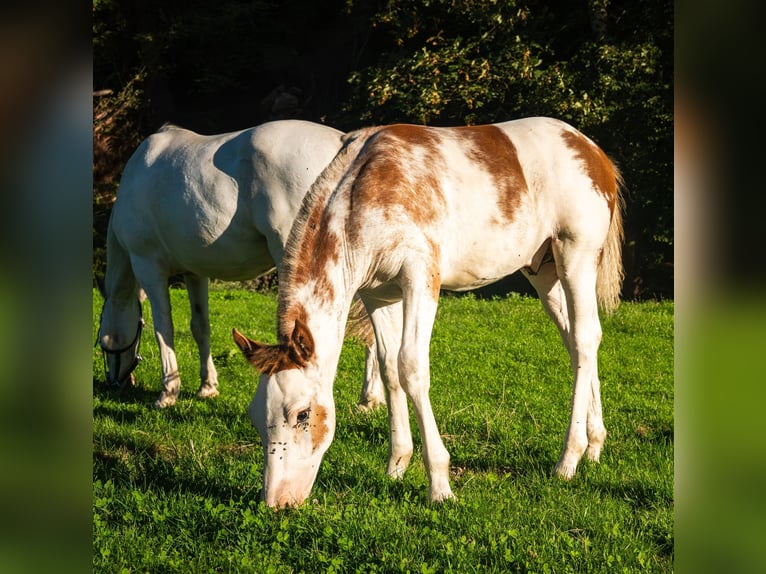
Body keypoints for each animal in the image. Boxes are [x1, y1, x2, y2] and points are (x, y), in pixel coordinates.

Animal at [97, 119, 386, 409]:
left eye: (101, 340)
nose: (116, 384)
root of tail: (343, 143)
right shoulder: (194, 273)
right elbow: (200, 327)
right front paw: (208, 386)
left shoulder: (148, 267)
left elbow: (163, 328)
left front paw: (168, 392)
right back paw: (370, 398)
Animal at [233, 116, 625, 507]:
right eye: (256, 417)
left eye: (302, 414)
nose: (277, 502)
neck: (364, 196)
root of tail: (593, 151)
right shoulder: (378, 295)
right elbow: (389, 369)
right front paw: (396, 465)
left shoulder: (420, 278)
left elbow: (411, 367)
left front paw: (439, 484)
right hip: (543, 272)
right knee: (576, 342)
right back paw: (594, 445)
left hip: (576, 257)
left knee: (586, 340)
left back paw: (569, 458)